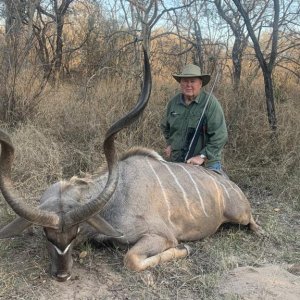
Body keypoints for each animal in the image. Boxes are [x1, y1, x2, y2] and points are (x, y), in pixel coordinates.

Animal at [0, 49, 262, 282]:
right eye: (48, 235)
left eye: (74, 233)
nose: (62, 275)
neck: (117, 198)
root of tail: (229, 184)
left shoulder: (161, 235)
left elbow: (132, 259)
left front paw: (185, 249)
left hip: (239, 214)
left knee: (250, 220)